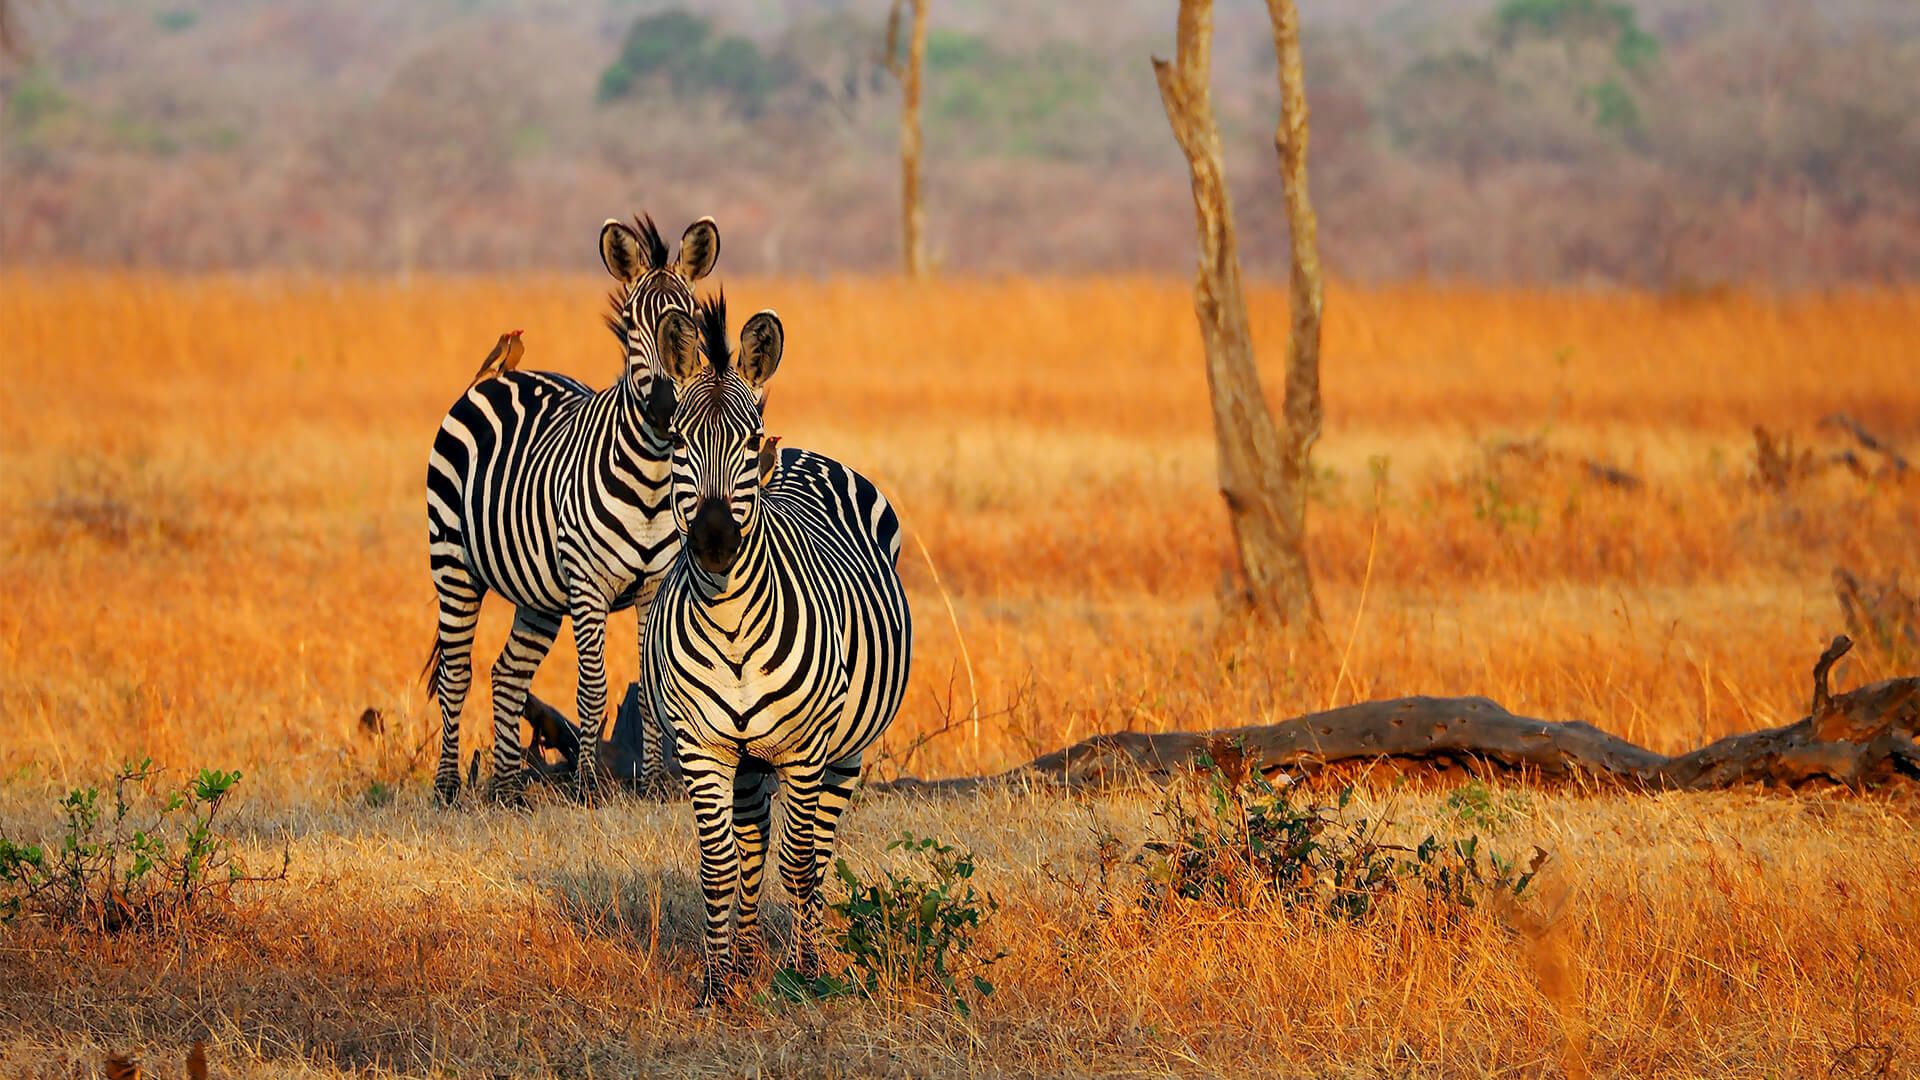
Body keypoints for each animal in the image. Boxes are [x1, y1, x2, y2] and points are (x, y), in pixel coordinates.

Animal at [423, 215, 717, 805]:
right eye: (629, 324)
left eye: (693, 322)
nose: (662, 406)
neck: (653, 476)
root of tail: (504, 376)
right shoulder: (587, 586)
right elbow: (593, 688)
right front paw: (586, 787)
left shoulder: (654, 586)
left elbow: (650, 690)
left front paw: (653, 785)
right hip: (452, 563)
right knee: (457, 673)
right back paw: (446, 789)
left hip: (537, 592)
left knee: (508, 673)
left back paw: (508, 791)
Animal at [644, 294, 912, 1006]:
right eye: (678, 440)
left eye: (746, 440)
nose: (713, 540)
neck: (731, 622)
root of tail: (805, 456)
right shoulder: (700, 746)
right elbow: (720, 866)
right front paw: (718, 985)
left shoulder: (805, 746)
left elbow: (799, 864)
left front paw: (805, 976)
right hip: (746, 757)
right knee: (751, 846)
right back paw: (745, 958)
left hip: (845, 749)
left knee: (815, 849)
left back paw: (801, 952)